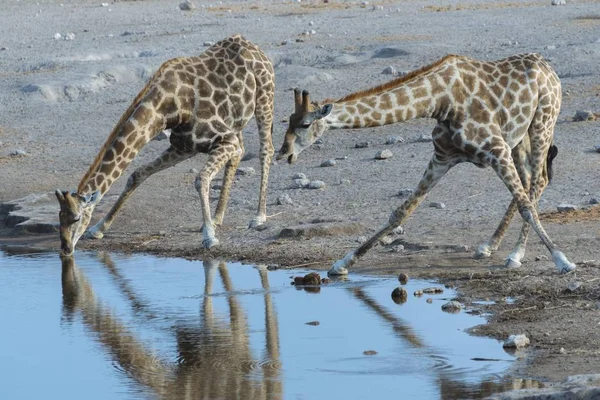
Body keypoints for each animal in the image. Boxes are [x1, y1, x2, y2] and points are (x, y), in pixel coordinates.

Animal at [54, 36, 274, 258]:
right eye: (59, 217)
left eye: (76, 218)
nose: (65, 249)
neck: (166, 108)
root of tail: (252, 45)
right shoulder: (183, 146)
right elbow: (138, 174)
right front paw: (99, 228)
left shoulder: (224, 139)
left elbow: (201, 178)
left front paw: (209, 237)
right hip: (237, 120)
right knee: (240, 153)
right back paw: (218, 217)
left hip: (265, 99)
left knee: (266, 150)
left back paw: (258, 216)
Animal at [276, 52, 576, 276]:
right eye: (288, 121)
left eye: (305, 124)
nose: (283, 153)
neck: (440, 101)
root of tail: (548, 68)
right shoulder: (442, 158)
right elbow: (400, 212)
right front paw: (343, 263)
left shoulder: (496, 149)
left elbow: (527, 206)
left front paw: (562, 260)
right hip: (519, 137)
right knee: (528, 182)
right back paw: (490, 245)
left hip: (542, 123)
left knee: (537, 182)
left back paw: (515, 253)